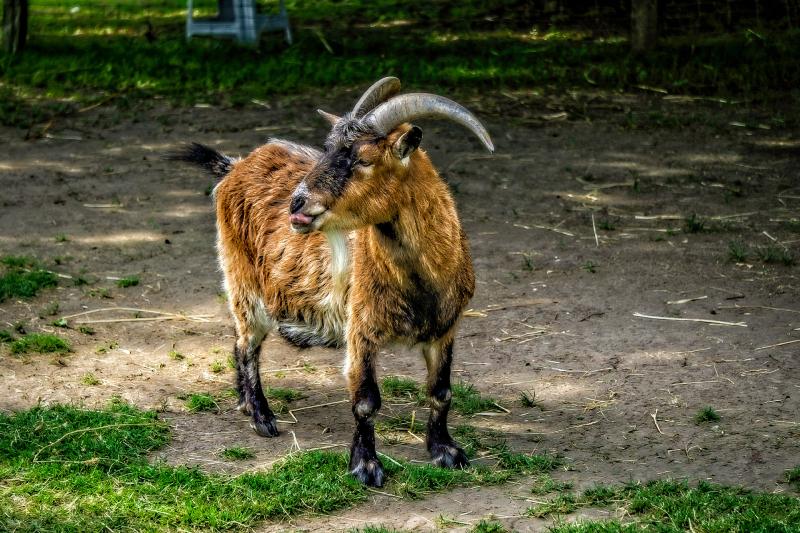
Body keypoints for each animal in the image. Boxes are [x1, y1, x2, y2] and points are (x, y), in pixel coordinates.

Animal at [173, 77, 493, 486]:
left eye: (365, 159)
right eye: (326, 150)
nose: (297, 203)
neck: (421, 283)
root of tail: (235, 166)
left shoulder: (445, 329)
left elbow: (441, 391)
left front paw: (445, 451)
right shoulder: (361, 330)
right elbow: (366, 401)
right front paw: (366, 466)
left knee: (237, 339)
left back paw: (245, 403)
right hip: (242, 279)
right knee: (247, 344)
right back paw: (262, 417)